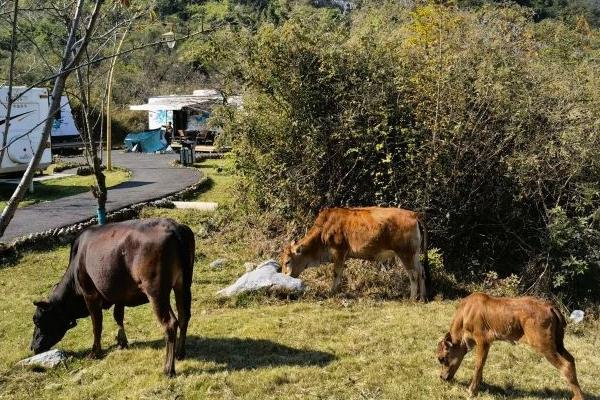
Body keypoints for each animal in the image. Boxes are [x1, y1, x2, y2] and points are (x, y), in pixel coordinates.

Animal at [31, 217, 195, 376]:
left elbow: (97, 325)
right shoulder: (119, 294)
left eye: (37, 321)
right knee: (183, 315)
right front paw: (122, 341)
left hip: (156, 291)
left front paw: (95, 352)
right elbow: (118, 316)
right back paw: (180, 353)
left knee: (170, 324)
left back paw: (168, 369)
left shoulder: (90, 294)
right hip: (183, 284)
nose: (33, 347)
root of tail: (173, 226)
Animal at [278, 206, 428, 300]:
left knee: (413, 275)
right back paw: (422, 298)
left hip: (405, 254)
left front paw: (332, 292)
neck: (323, 230)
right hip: (414, 254)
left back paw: (412, 299)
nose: (284, 276)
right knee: (421, 271)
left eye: (287, 261)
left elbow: (336, 273)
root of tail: (414, 215)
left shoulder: (338, 251)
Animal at [438, 290, 584, 400]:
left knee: (566, 365)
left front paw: (471, 391)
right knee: (571, 360)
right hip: (558, 345)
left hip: (544, 346)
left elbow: (478, 365)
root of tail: (550, 307)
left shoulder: (483, 340)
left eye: (442, 358)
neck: (465, 314)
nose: (441, 377)